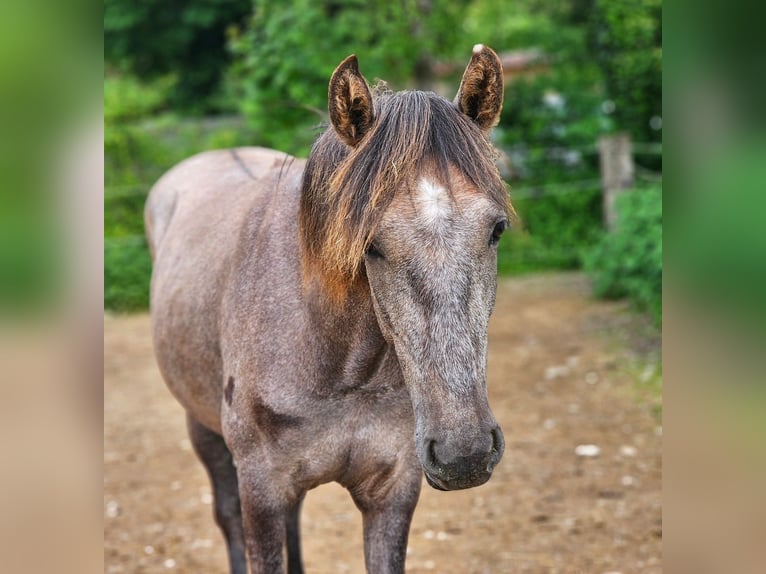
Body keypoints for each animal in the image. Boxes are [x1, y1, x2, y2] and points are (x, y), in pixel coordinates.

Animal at [147, 46, 512, 574]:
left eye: (497, 229)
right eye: (371, 244)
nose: (463, 453)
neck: (339, 366)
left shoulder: (392, 492)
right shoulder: (260, 490)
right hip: (203, 430)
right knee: (226, 516)